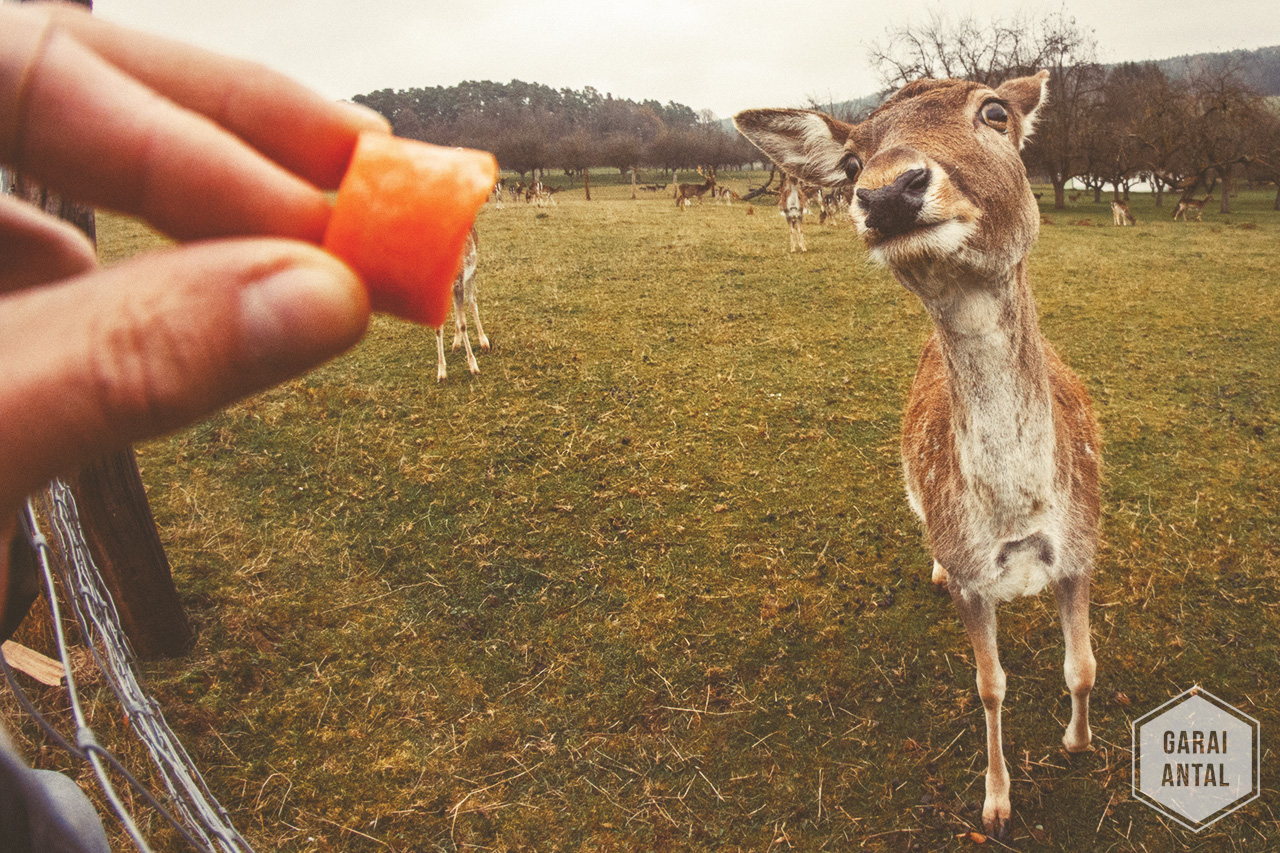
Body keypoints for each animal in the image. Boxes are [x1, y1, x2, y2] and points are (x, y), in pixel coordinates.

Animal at [432, 225, 486, 379]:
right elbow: (438, 327)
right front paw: (441, 372)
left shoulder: (458, 282)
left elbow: (463, 324)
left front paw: (473, 366)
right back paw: (456, 343)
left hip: (472, 272)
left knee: (472, 301)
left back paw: (484, 342)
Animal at [737, 68, 1105, 835]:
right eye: (851, 163)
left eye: (994, 112)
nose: (885, 191)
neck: (1020, 516)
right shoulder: (972, 578)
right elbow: (989, 686)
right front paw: (996, 803)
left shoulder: (1083, 547)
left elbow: (1082, 667)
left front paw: (1078, 742)